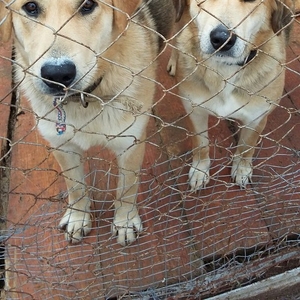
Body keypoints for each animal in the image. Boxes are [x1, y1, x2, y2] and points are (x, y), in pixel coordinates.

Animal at [0, 0, 180, 245]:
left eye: (88, 5)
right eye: (31, 7)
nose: (58, 75)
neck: (86, 98)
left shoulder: (130, 143)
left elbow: (127, 189)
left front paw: (124, 222)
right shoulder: (62, 146)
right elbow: (75, 187)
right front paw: (78, 219)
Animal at [170, 0, 294, 190]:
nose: (222, 39)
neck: (225, 70)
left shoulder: (256, 118)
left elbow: (246, 147)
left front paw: (242, 170)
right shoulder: (195, 111)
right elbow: (201, 144)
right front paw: (200, 170)